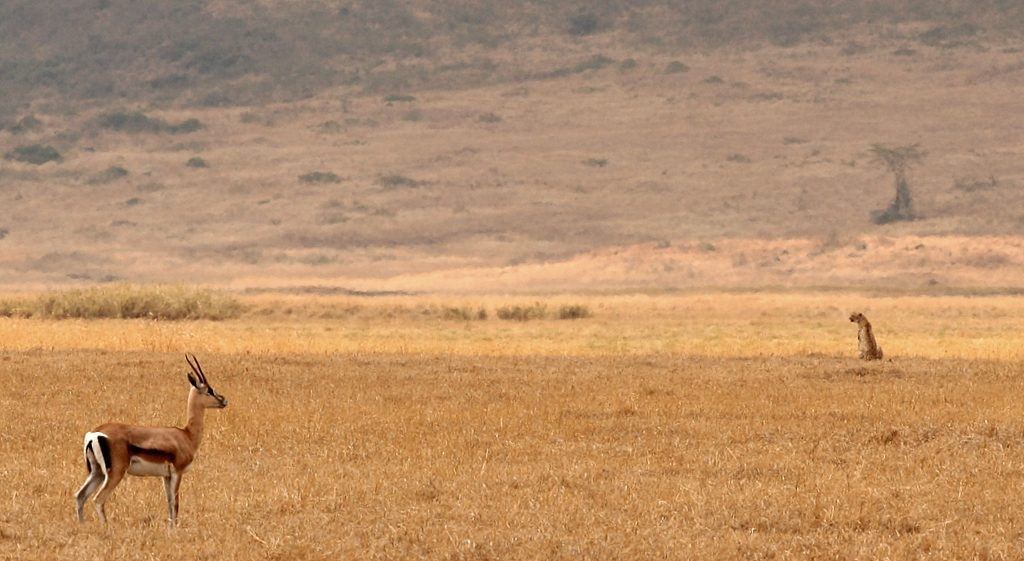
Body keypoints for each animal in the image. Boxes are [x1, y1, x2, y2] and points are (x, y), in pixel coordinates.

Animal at [75, 354, 227, 526]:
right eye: (208, 390)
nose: (223, 400)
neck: (186, 435)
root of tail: (94, 434)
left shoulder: (166, 476)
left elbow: (169, 502)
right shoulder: (177, 472)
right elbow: (176, 503)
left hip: (97, 472)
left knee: (80, 496)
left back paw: (82, 526)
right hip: (115, 473)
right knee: (98, 499)